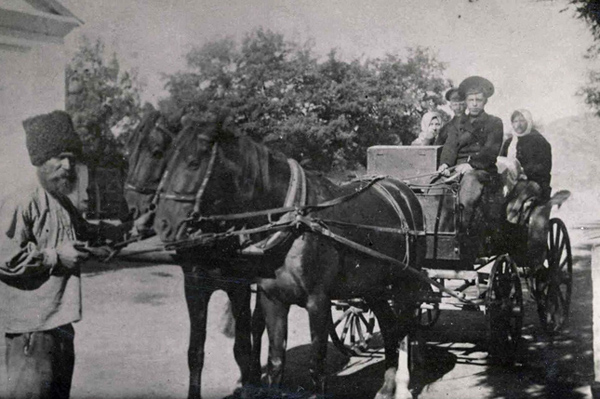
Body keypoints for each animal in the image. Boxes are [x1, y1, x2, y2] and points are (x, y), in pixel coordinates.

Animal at [122, 110, 262, 399]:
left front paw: (248, 383)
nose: (133, 209)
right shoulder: (195, 287)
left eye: (156, 153)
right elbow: (195, 352)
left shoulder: (239, 287)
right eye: (128, 154)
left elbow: (242, 346)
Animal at [155, 116, 426, 399]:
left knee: (406, 327)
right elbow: (275, 361)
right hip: (374, 287)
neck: (293, 221)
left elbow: (317, 366)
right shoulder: (272, 299)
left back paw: (403, 384)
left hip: (406, 284)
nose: (164, 223)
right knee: (389, 326)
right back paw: (386, 386)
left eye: (193, 163)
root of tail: (402, 189)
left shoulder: (318, 302)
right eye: (165, 164)